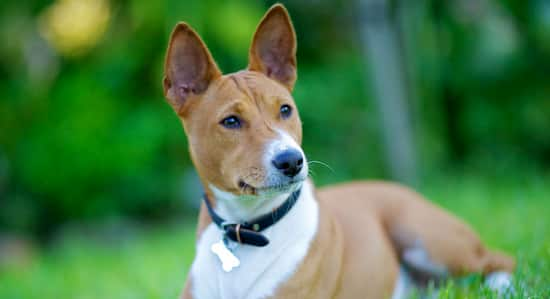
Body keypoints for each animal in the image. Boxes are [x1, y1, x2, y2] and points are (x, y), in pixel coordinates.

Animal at [161, 3, 516, 298]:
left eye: (285, 110)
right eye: (231, 121)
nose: (291, 161)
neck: (246, 229)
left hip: (428, 237)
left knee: (500, 260)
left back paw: (501, 287)